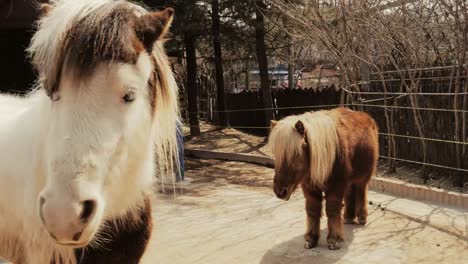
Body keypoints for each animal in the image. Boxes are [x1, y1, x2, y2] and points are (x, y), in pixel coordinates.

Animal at [268, 106, 378, 250]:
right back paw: (348, 217)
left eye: (296, 153)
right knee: (350, 193)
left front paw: (334, 240)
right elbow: (312, 210)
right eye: (276, 154)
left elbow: (332, 210)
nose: (280, 191)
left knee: (360, 192)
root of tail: (366, 116)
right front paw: (311, 239)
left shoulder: (335, 187)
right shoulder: (310, 187)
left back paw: (361, 217)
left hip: (362, 178)